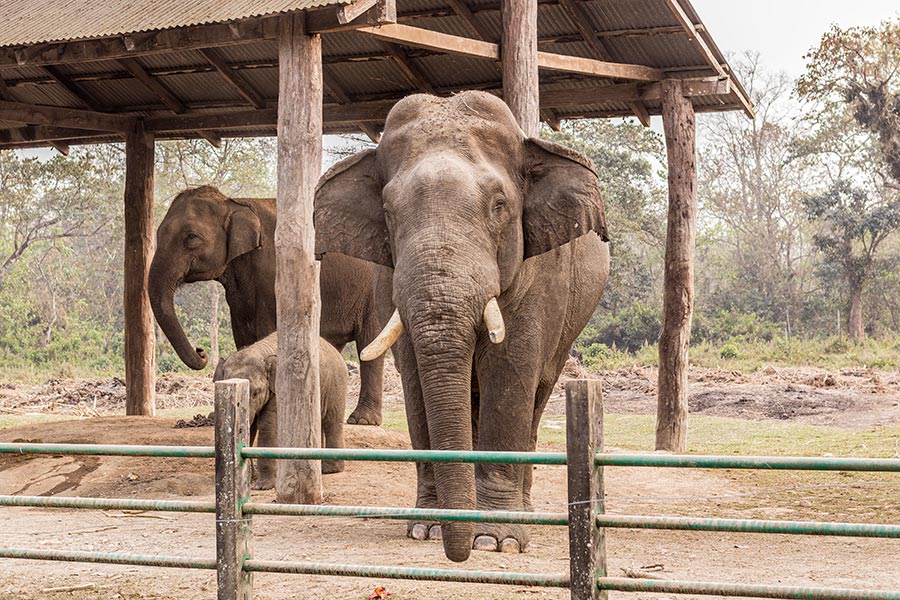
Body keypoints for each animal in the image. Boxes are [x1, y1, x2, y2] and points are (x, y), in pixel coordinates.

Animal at [148, 186, 389, 425]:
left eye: (191, 237)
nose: (201, 351)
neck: (234, 203)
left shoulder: (272, 278)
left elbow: (268, 332)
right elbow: (242, 336)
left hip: (372, 295)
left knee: (370, 344)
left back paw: (362, 421)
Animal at [213, 332, 348, 488]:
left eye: (255, 393)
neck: (258, 352)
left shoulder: (279, 389)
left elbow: (268, 425)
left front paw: (263, 486)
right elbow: (251, 427)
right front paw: (250, 477)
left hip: (336, 383)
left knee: (332, 421)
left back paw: (330, 469)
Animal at [314, 91, 610, 562]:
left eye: (499, 206)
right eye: (388, 211)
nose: (460, 551)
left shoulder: (540, 278)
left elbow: (509, 377)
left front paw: (495, 540)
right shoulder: (387, 278)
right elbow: (416, 379)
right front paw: (428, 529)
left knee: (537, 396)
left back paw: (522, 513)